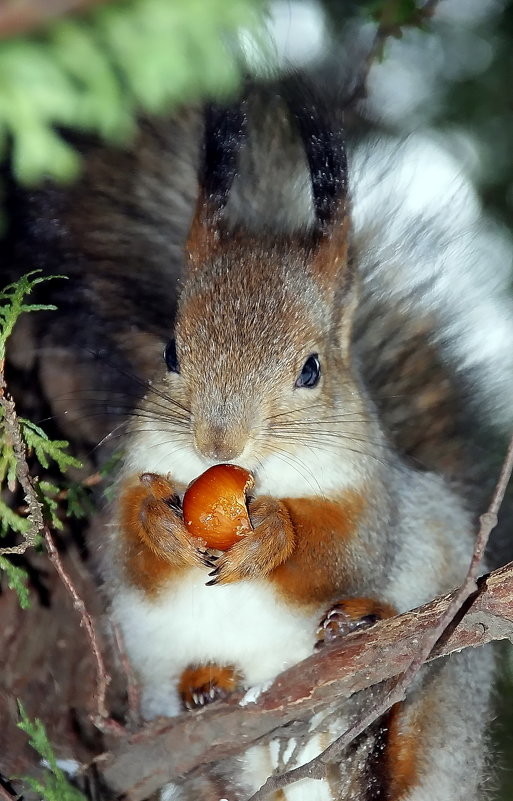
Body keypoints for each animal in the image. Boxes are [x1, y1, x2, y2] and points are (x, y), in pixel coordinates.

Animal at [95, 83, 512, 800]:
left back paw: (362, 666)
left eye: (311, 370)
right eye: (171, 353)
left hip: (443, 674)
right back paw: (208, 690)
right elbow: (127, 553)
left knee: (402, 745)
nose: (219, 444)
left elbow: (337, 550)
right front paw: (158, 520)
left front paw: (274, 534)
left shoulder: (374, 503)